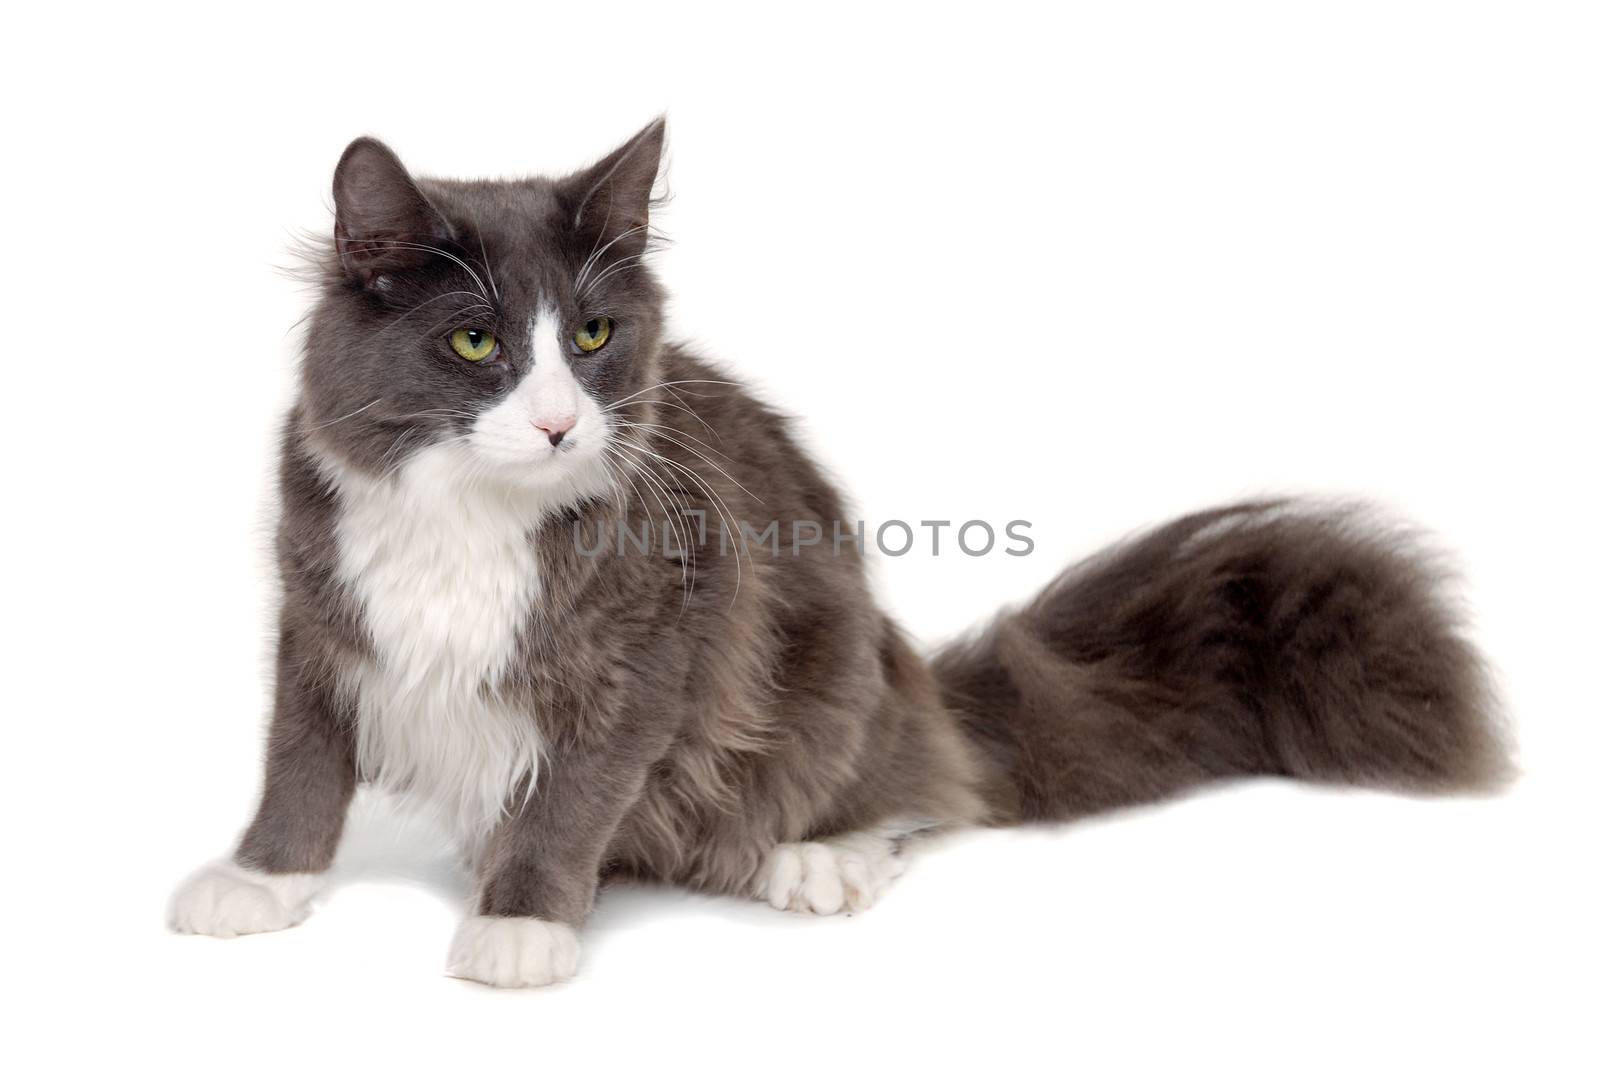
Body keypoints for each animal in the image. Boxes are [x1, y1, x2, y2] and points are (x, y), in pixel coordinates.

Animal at [168, 120, 1504, 991]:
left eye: (592, 335)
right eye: (476, 343)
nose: (557, 422)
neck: (469, 512)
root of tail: (920, 677)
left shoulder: (646, 660)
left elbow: (569, 801)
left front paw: (523, 924)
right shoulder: (319, 619)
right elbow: (298, 767)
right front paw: (261, 880)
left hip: (830, 682)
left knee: (923, 793)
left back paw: (817, 858)